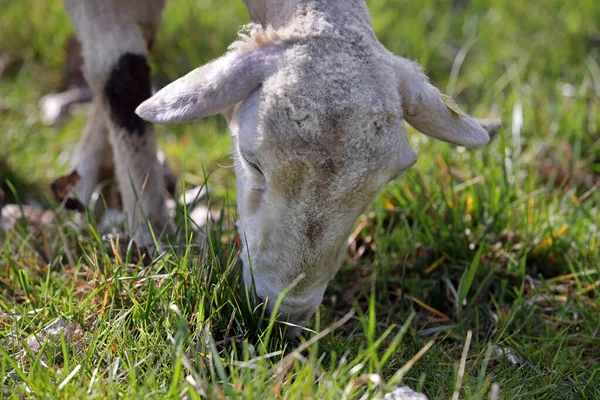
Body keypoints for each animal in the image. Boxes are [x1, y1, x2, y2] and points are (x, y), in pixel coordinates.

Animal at [63, 0, 490, 338]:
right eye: (251, 161)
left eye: (388, 180)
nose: (284, 315)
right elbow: (122, 74)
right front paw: (152, 231)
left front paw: (91, 177)